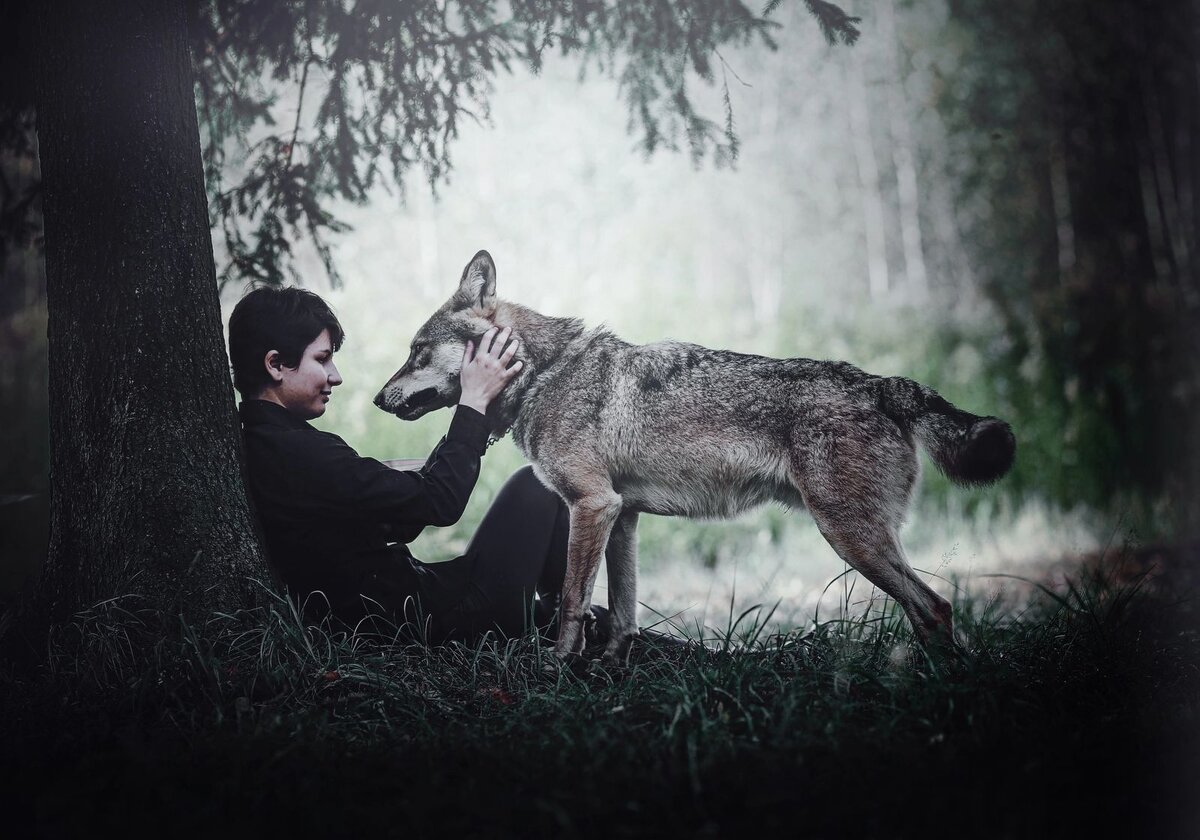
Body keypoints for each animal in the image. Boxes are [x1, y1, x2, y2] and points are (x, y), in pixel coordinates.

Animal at [372, 249, 1012, 662]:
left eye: (417, 351)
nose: (378, 399)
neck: (542, 374)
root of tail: (882, 384)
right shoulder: (622, 515)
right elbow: (622, 611)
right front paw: (609, 666)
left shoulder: (591, 506)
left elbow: (574, 602)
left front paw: (555, 669)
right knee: (930, 612)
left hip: (850, 537)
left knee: (935, 608)